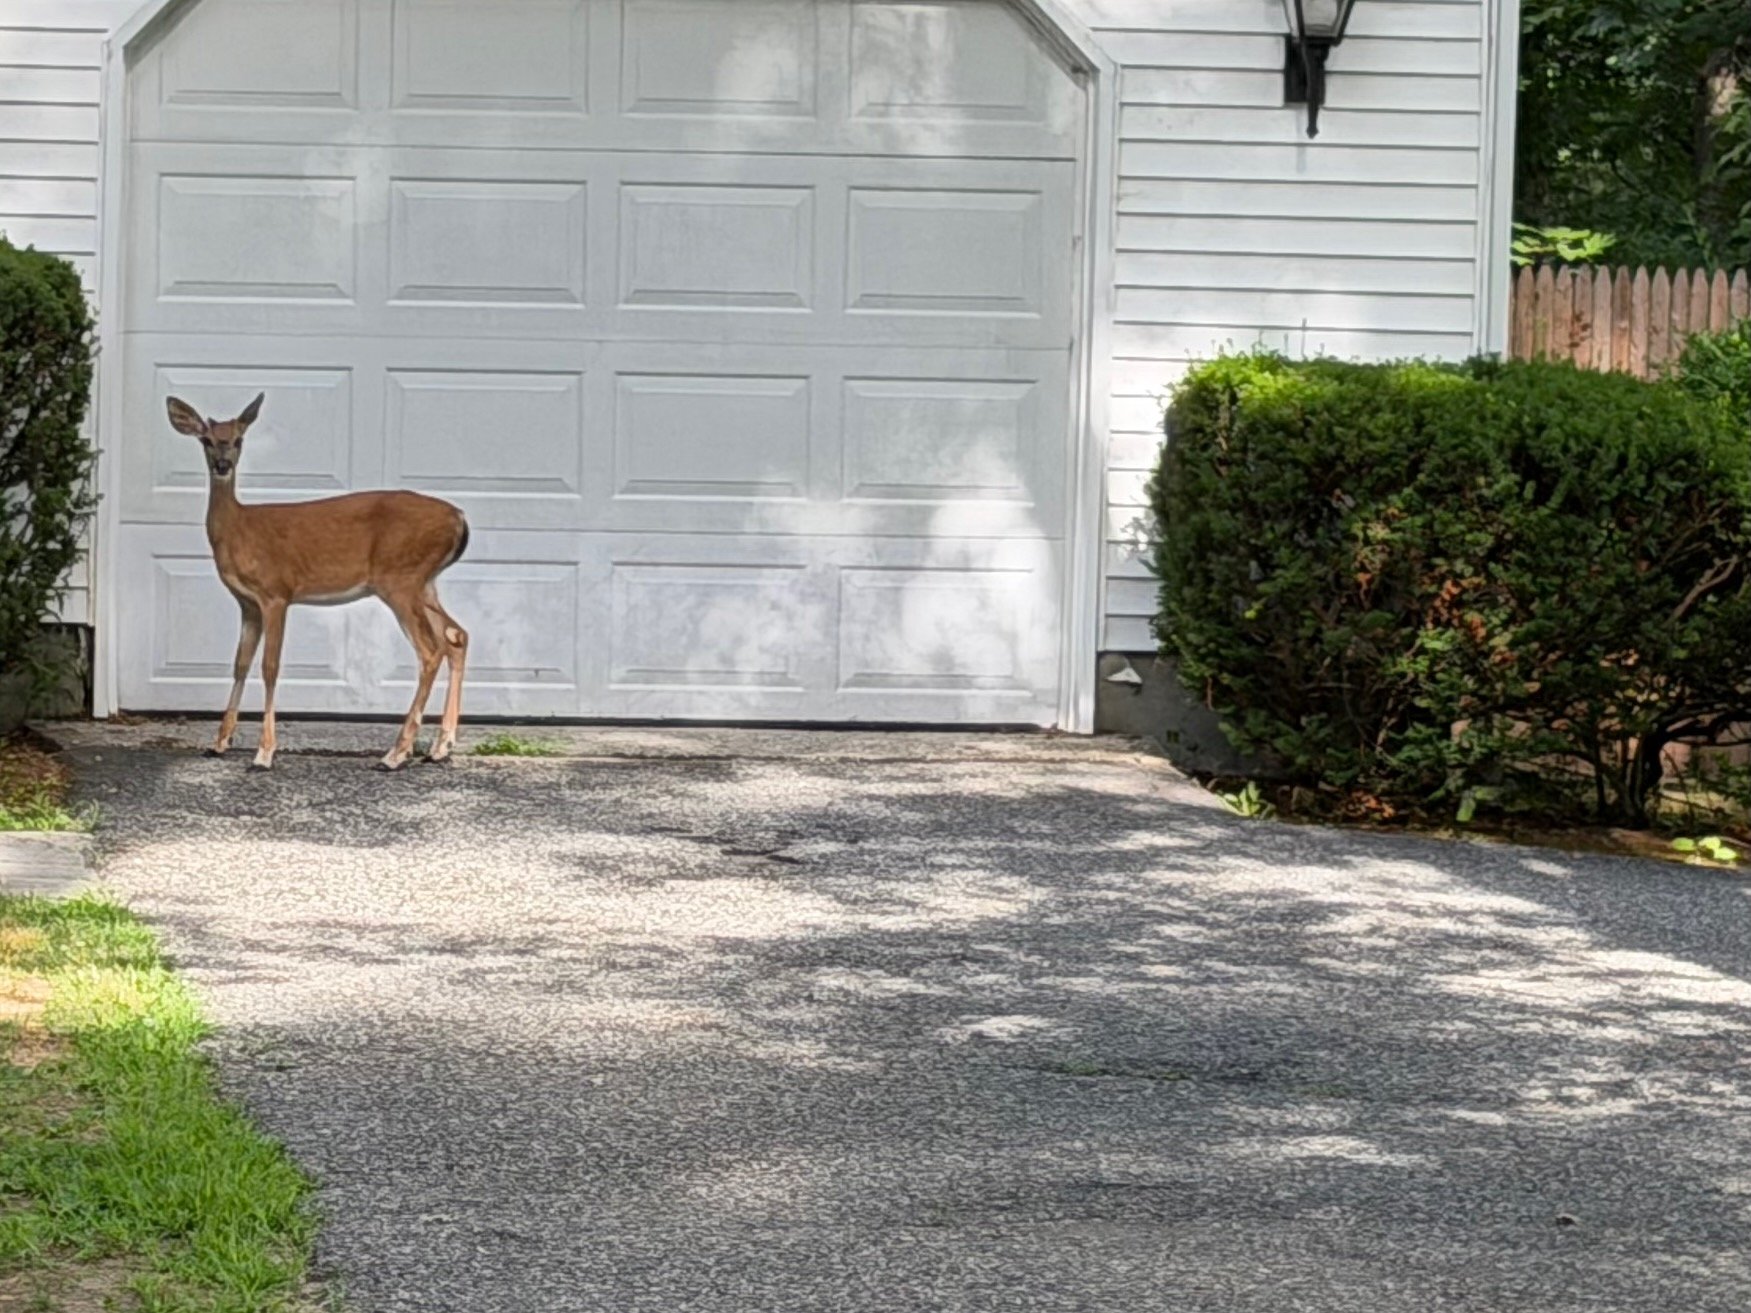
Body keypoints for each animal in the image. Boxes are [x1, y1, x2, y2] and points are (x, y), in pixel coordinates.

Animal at [166, 393, 471, 772]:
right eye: (206, 440)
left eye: (238, 439)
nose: (222, 464)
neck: (238, 529)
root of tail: (459, 518)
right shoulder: (247, 602)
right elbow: (240, 664)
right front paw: (220, 742)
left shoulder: (276, 592)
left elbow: (269, 667)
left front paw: (264, 753)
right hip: (424, 583)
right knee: (456, 636)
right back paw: (441, 747)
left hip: (401, 579)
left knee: (431, 649)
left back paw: (396, 754)